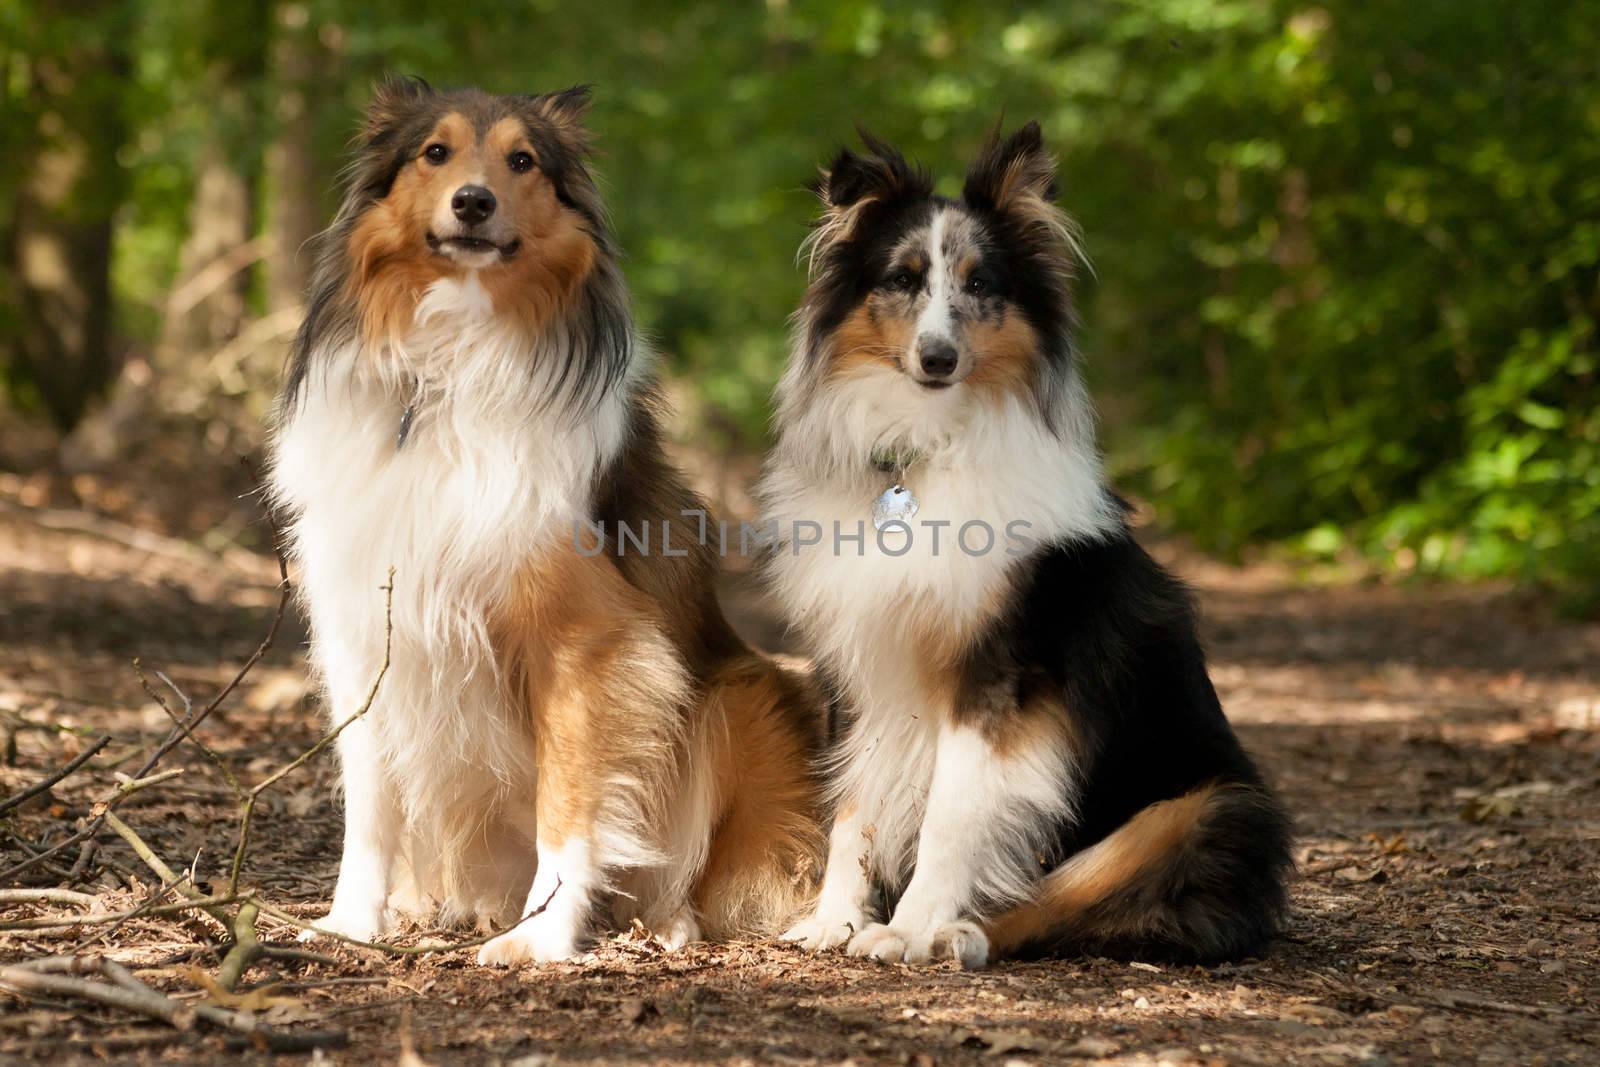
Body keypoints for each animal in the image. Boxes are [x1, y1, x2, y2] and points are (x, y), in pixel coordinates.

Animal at [268, 79, 819, 966]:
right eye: (435, 152)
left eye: (523, 160)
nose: (474, 201)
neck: (446, 373)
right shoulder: (362, 631)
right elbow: (369, 802)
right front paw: (349, 922)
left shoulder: (587, 642)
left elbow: (570, 804)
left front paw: (540, 936)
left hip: (741, 694)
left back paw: (667, 922)